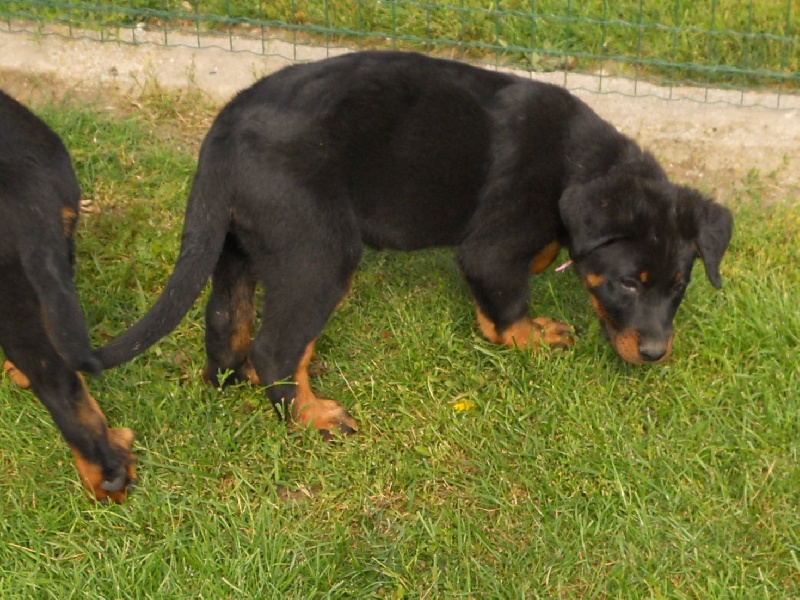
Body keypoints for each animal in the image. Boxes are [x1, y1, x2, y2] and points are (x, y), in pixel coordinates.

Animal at [94, 50, 732, 436]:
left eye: (678, 286)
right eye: (628, 283)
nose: (656, 354)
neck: (580, 164)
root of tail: (224, 128)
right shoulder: (490, 247)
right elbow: (509, 308)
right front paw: (532, 337)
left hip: (237, 245)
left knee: (229, 330)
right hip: (320, 251)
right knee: (273, 346)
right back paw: (313, 417)